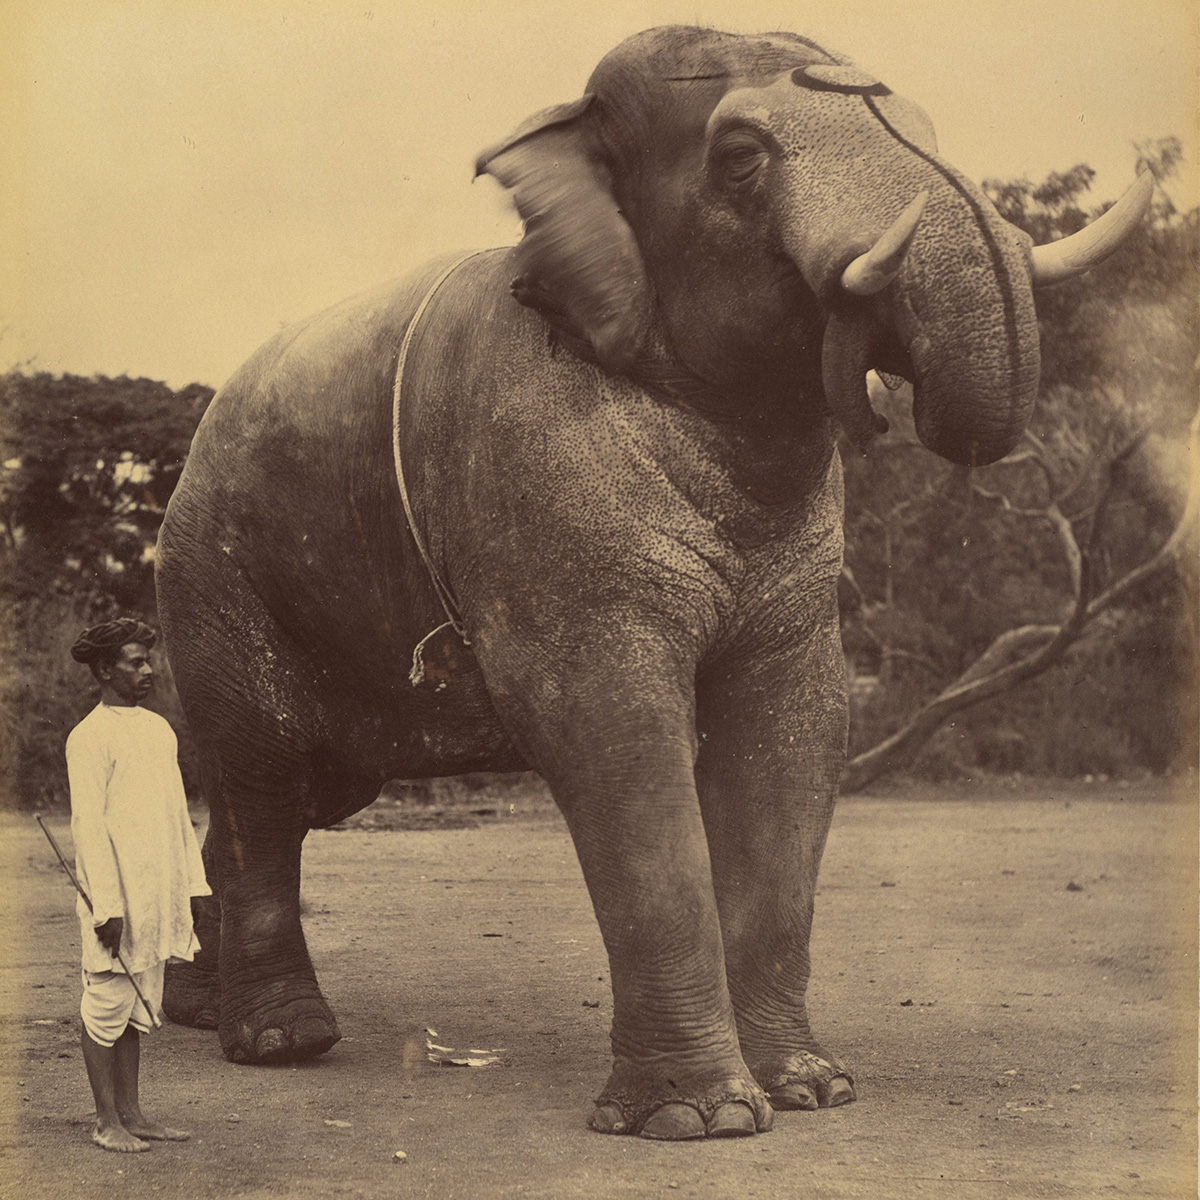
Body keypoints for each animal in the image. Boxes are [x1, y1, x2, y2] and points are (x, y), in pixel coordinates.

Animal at [154, 23, 1147, 1137]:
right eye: (743, 157)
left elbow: (797, 728)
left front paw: (812, 1092)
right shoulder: (537, 484)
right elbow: (608, 724)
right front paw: (699, 1122)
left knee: (280, 794)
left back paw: (204, 1009)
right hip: (213, 578)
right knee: (266, 774)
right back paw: (283, 1043)